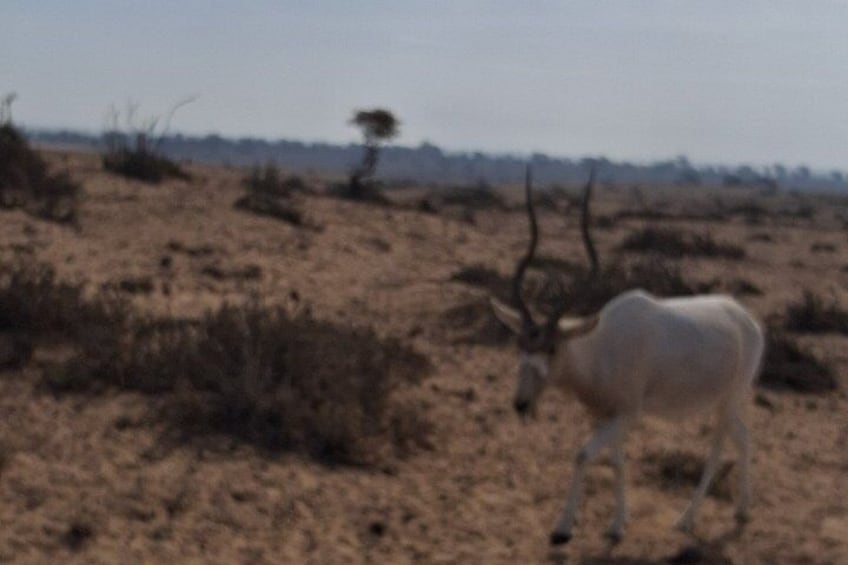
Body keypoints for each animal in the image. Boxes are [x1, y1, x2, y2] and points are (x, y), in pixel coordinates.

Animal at [490, 167, 765, 545]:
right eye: (521, 344)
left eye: (552, 347)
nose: (521, 403)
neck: (600, 347)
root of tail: (747, 321)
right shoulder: (607, 416)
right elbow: (616, 462)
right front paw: (618, 524)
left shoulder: (628, 414)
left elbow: (582, 454)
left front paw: (563, 528)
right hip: (723, 402)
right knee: (744, 437)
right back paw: (742, 510)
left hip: (728, 401)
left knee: (718, 449)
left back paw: (686, 520)